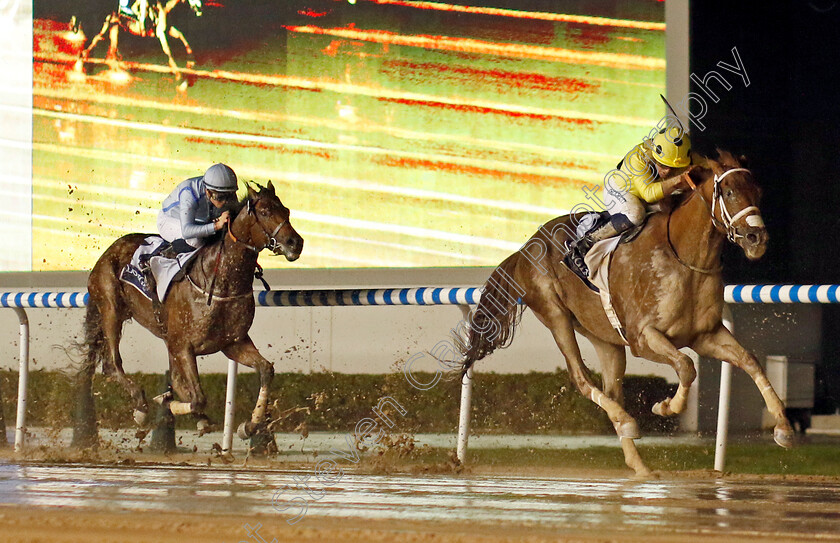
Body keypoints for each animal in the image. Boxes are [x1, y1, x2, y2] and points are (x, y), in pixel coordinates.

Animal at [72, 181, 302, 448]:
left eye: (286, 210)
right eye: (265, 211)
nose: (295, 243)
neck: (219, 281)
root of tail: (111, 248)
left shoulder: (233, 343)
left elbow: (266, 370)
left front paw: (250, 425)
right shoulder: (183, 346)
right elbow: (197, 396)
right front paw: (163, 402)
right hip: (111, 308)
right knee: (112, 364)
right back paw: (141, 406)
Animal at [456, 152, 792, 476]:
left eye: (758, 191)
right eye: (729, 191)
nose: (757, 238)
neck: (684, 256)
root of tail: (525, 247)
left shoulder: (705, 335)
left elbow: (749, 360)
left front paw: (783, 428)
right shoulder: (643, 338)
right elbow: (686, 366)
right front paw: (665, 407)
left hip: (604, 338)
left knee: (612, 389)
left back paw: (639, 463)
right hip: (555, 314)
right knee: (581, 378)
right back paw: (628, 422)